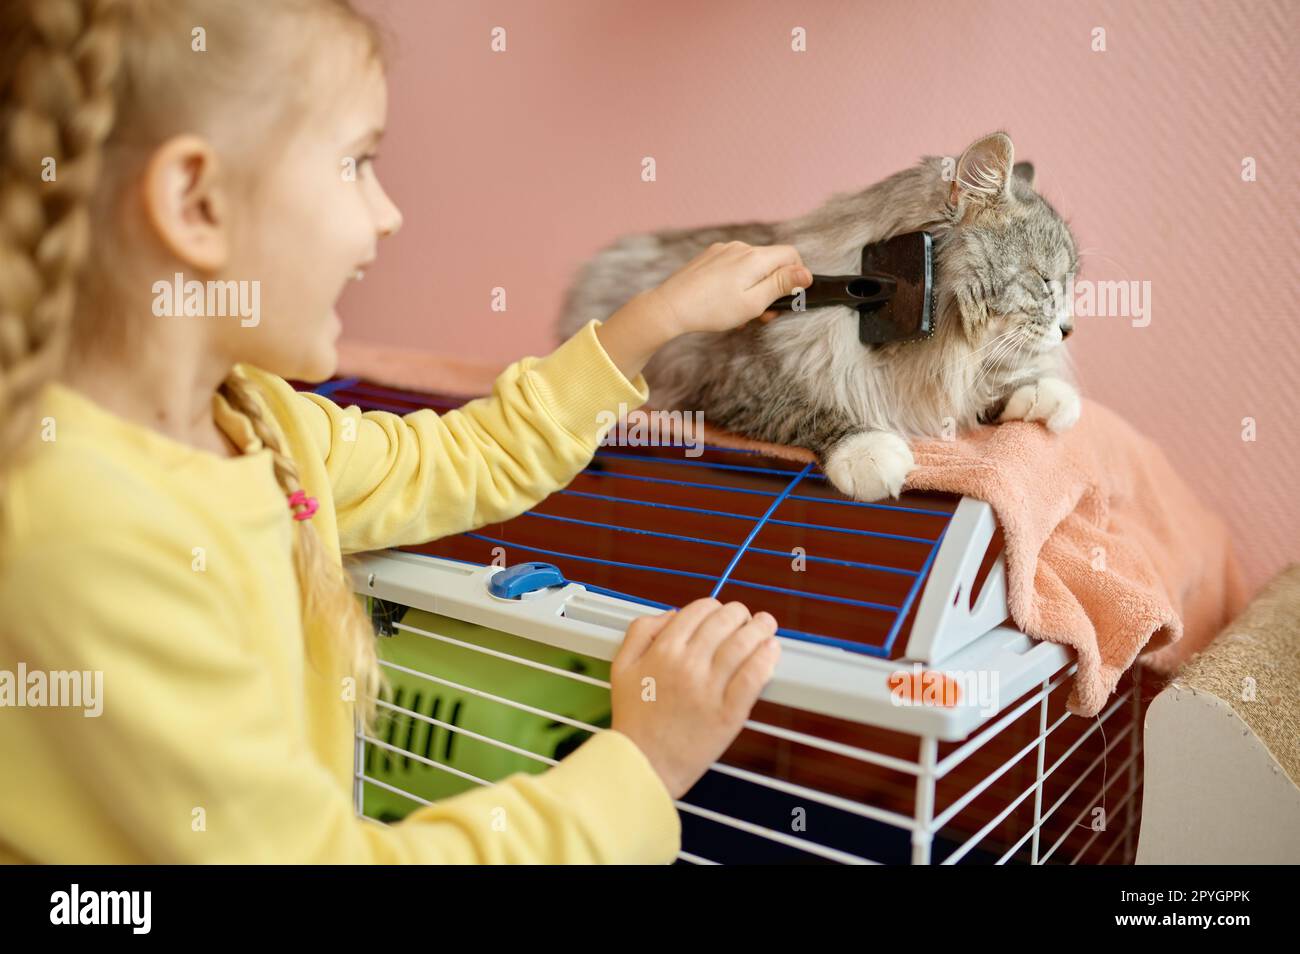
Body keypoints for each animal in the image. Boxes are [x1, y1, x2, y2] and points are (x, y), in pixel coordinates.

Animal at [553, 136, 1081, 509]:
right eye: (1044, 281)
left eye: (1068, 282)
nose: (1068, 329)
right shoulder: (738, 379)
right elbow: (813, 410)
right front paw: (871, 454)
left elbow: (995, 388)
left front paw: (1048, 396)